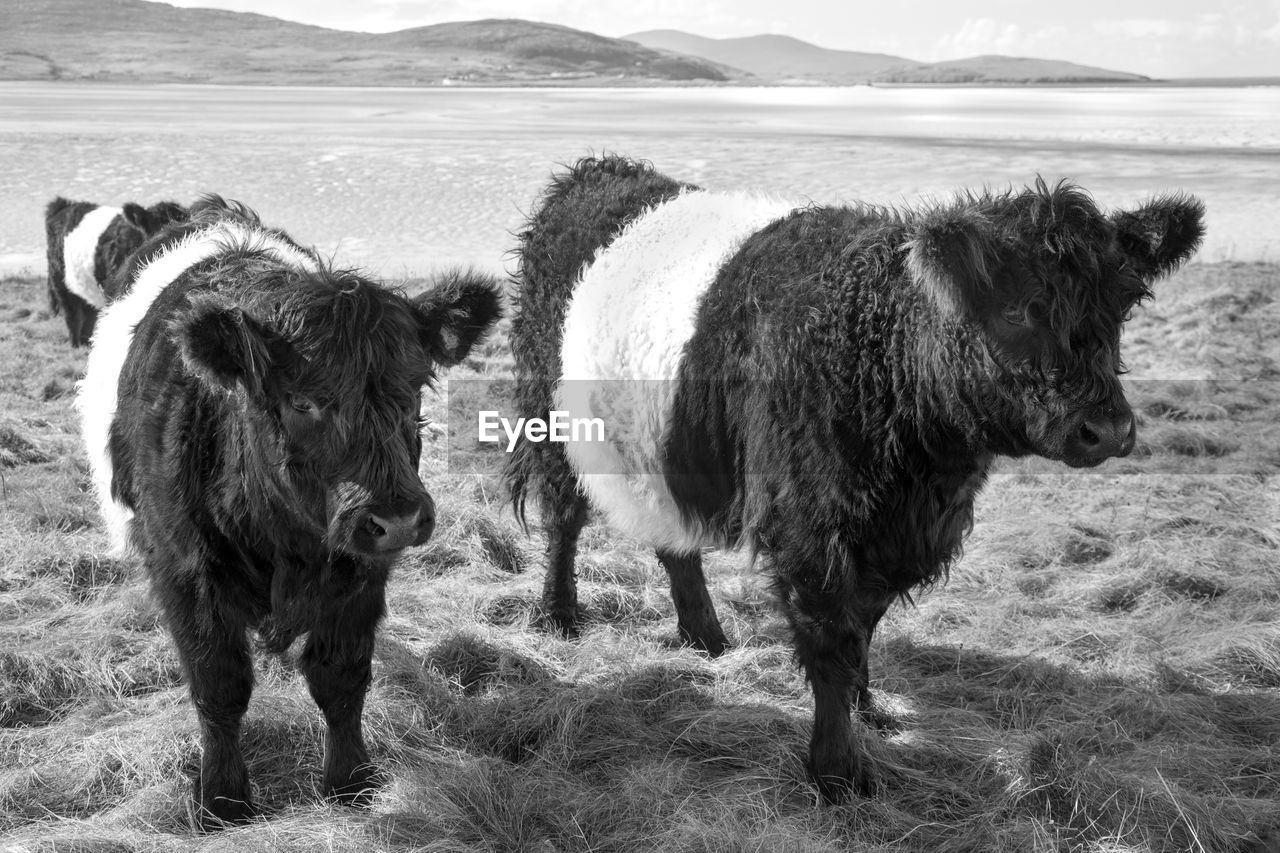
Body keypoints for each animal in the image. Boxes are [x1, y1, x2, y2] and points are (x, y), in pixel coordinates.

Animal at [44, 197, 186, 343]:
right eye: (153, 226)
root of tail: (64, 204)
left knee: (87, 316)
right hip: (60, 282)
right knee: (72, 316)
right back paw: (75, 343)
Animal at [77, 194, 501, 824]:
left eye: (413, 390)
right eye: (303, 402)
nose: (398, 519)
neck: (282, 543)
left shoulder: (360, 568)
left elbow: (340, 679)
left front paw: (350, 783)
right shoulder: (185, 570)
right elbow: (219, 686)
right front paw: (223, 801)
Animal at [504, 156, 1203, 799]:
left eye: (1121, 307)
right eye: (1015, 312)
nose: (1107, 430)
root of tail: (595, 172)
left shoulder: (895, 534)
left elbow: (866, 622)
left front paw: (869, 709)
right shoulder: (813, 523)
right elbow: (832, 638)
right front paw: (838, 771)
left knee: (674, 540)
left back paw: (705, 637)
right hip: (552, 414)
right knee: (563, 516)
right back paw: (560, 616)